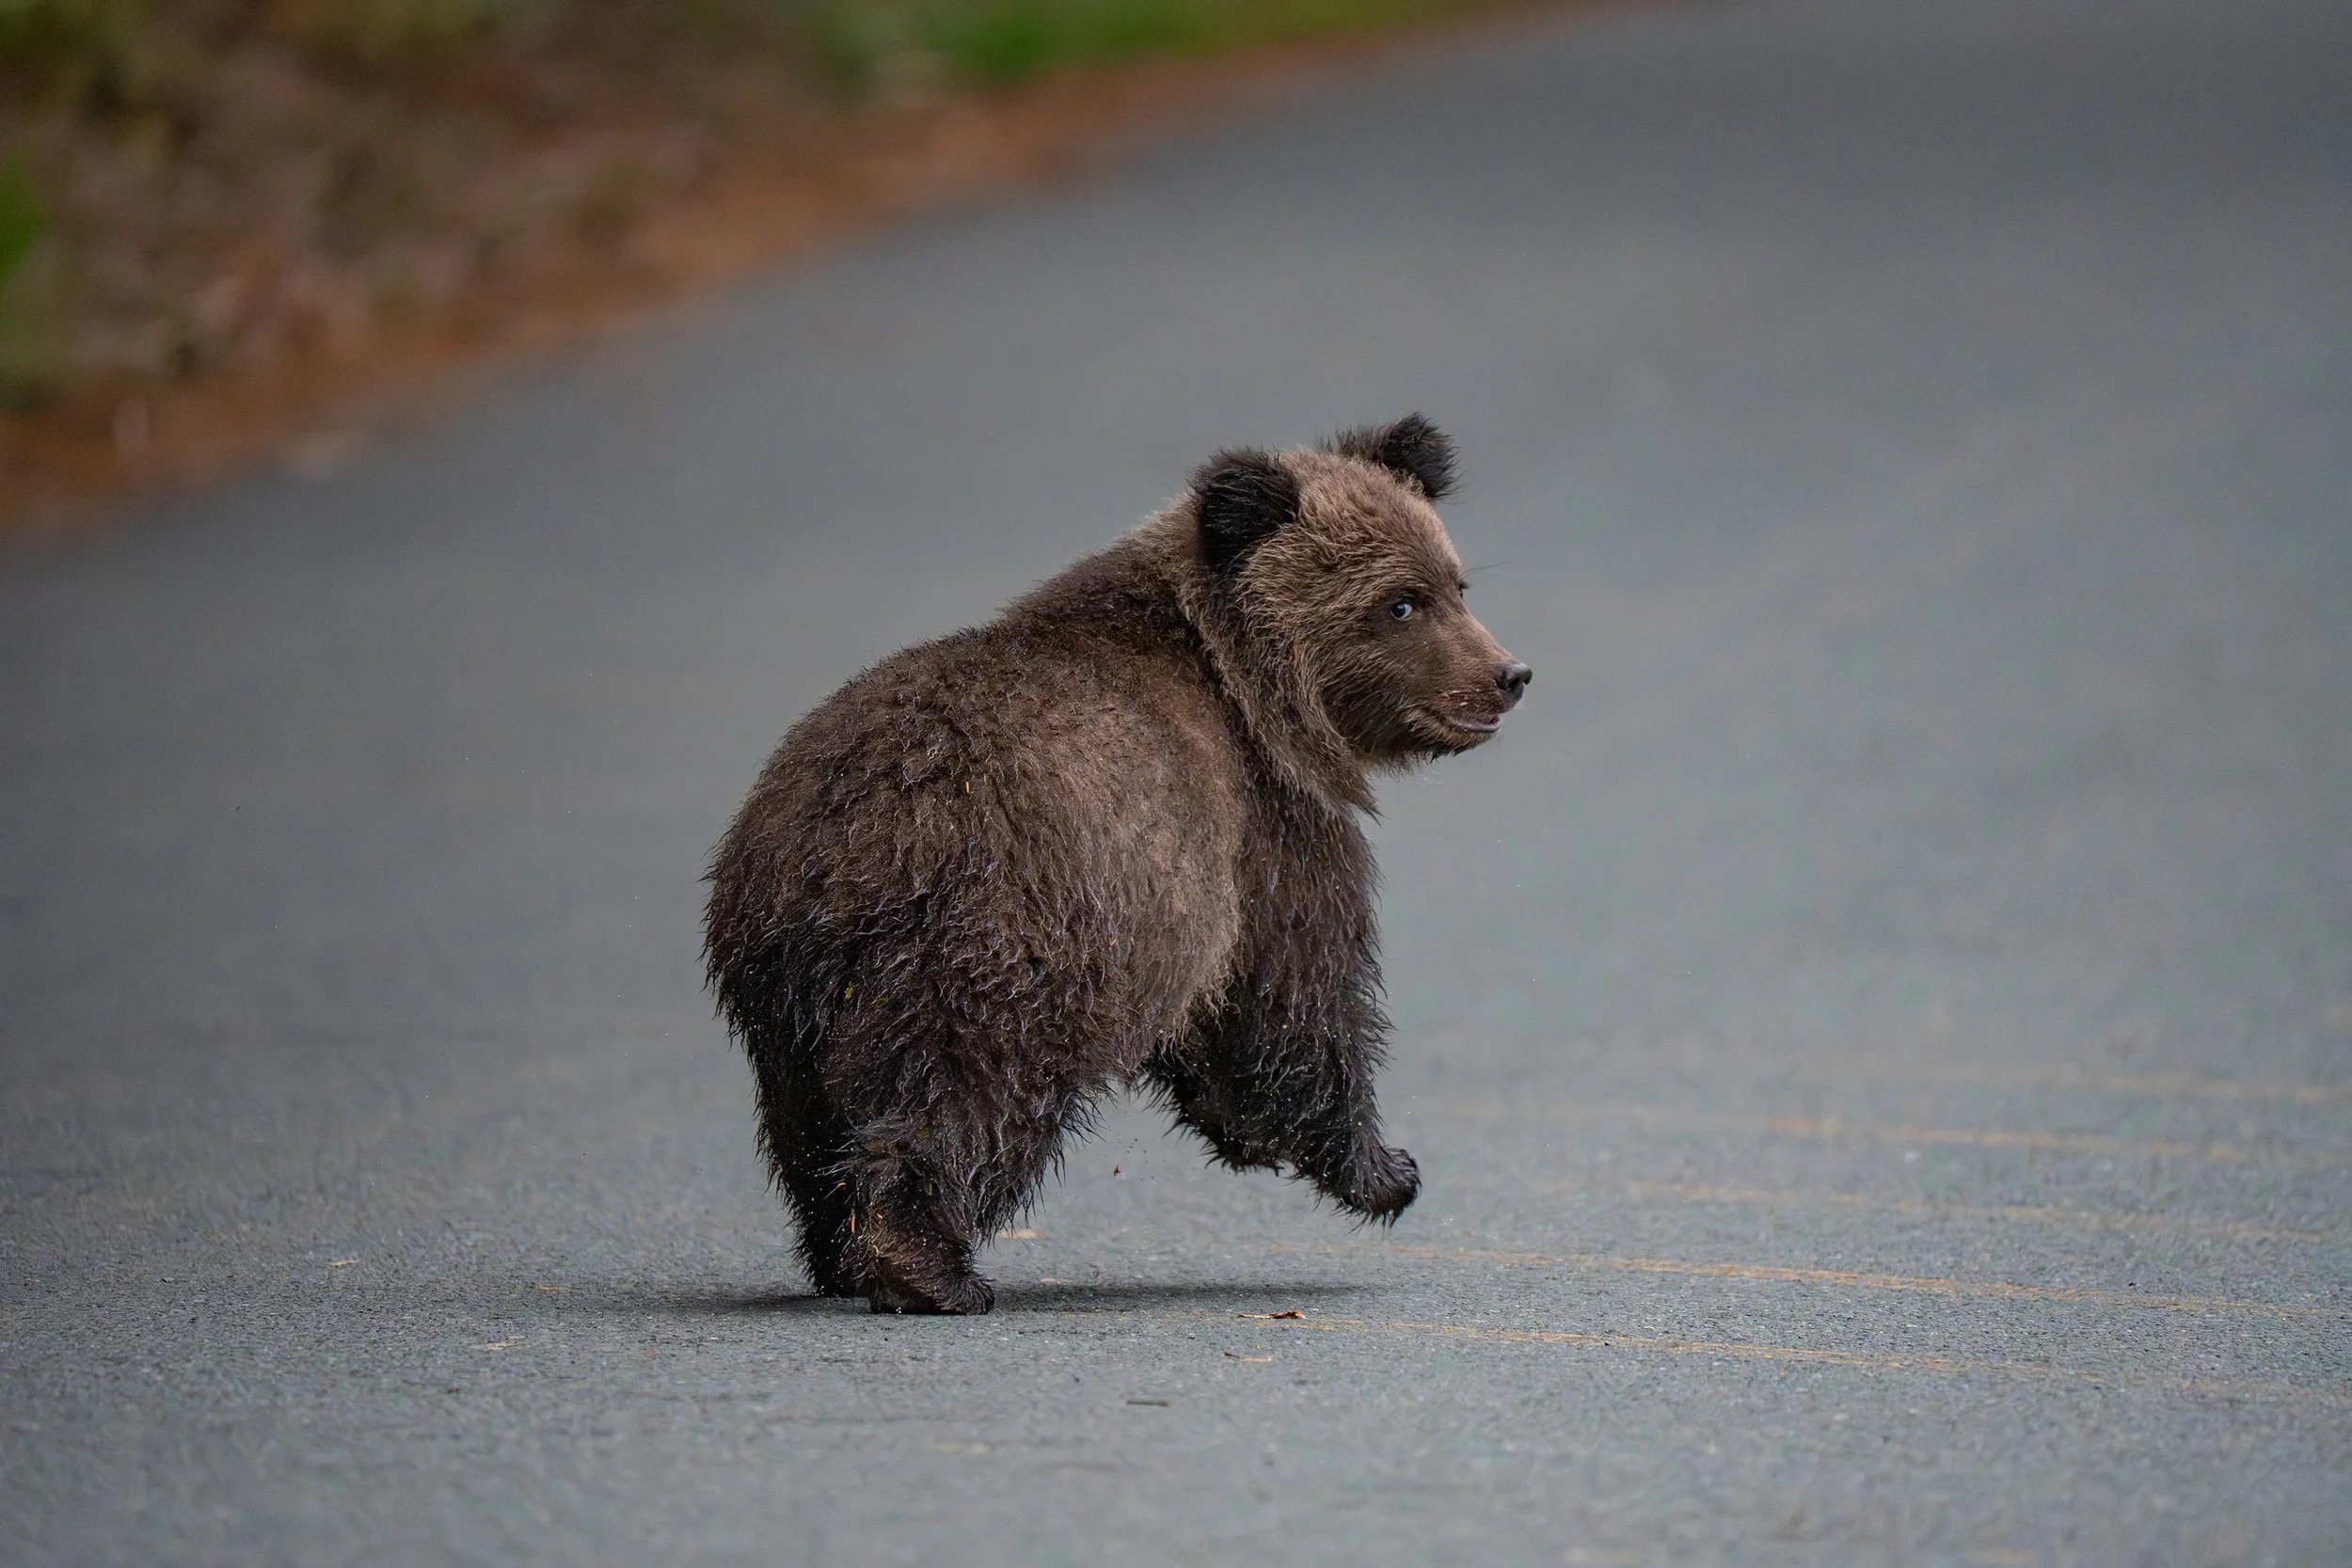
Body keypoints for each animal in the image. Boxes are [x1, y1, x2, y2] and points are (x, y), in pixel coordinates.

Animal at [702, 415, 1529, 1314]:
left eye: (1457, 583)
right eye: (1401, 601)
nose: (1507, 674)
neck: (1251, 683)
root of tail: (844, 831)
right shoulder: (1257, 829)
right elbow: (1293, 1001)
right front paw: (1387, 1170)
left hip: (785, 984)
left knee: (805, 1121)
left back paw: (839, 1255)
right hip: (997, 931)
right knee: (963, 1090)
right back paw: (927, 1266)